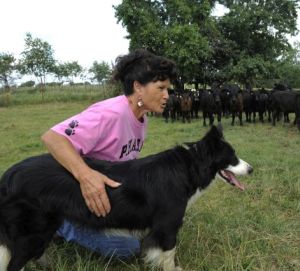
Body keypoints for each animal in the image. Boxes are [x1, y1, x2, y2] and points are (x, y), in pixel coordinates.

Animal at [0, 126, 253, 270]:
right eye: (231, 157)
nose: (251, 169)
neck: (189, 165)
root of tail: (8, 176)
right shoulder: (167, 226)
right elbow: (169, 256)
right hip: (31, 230)